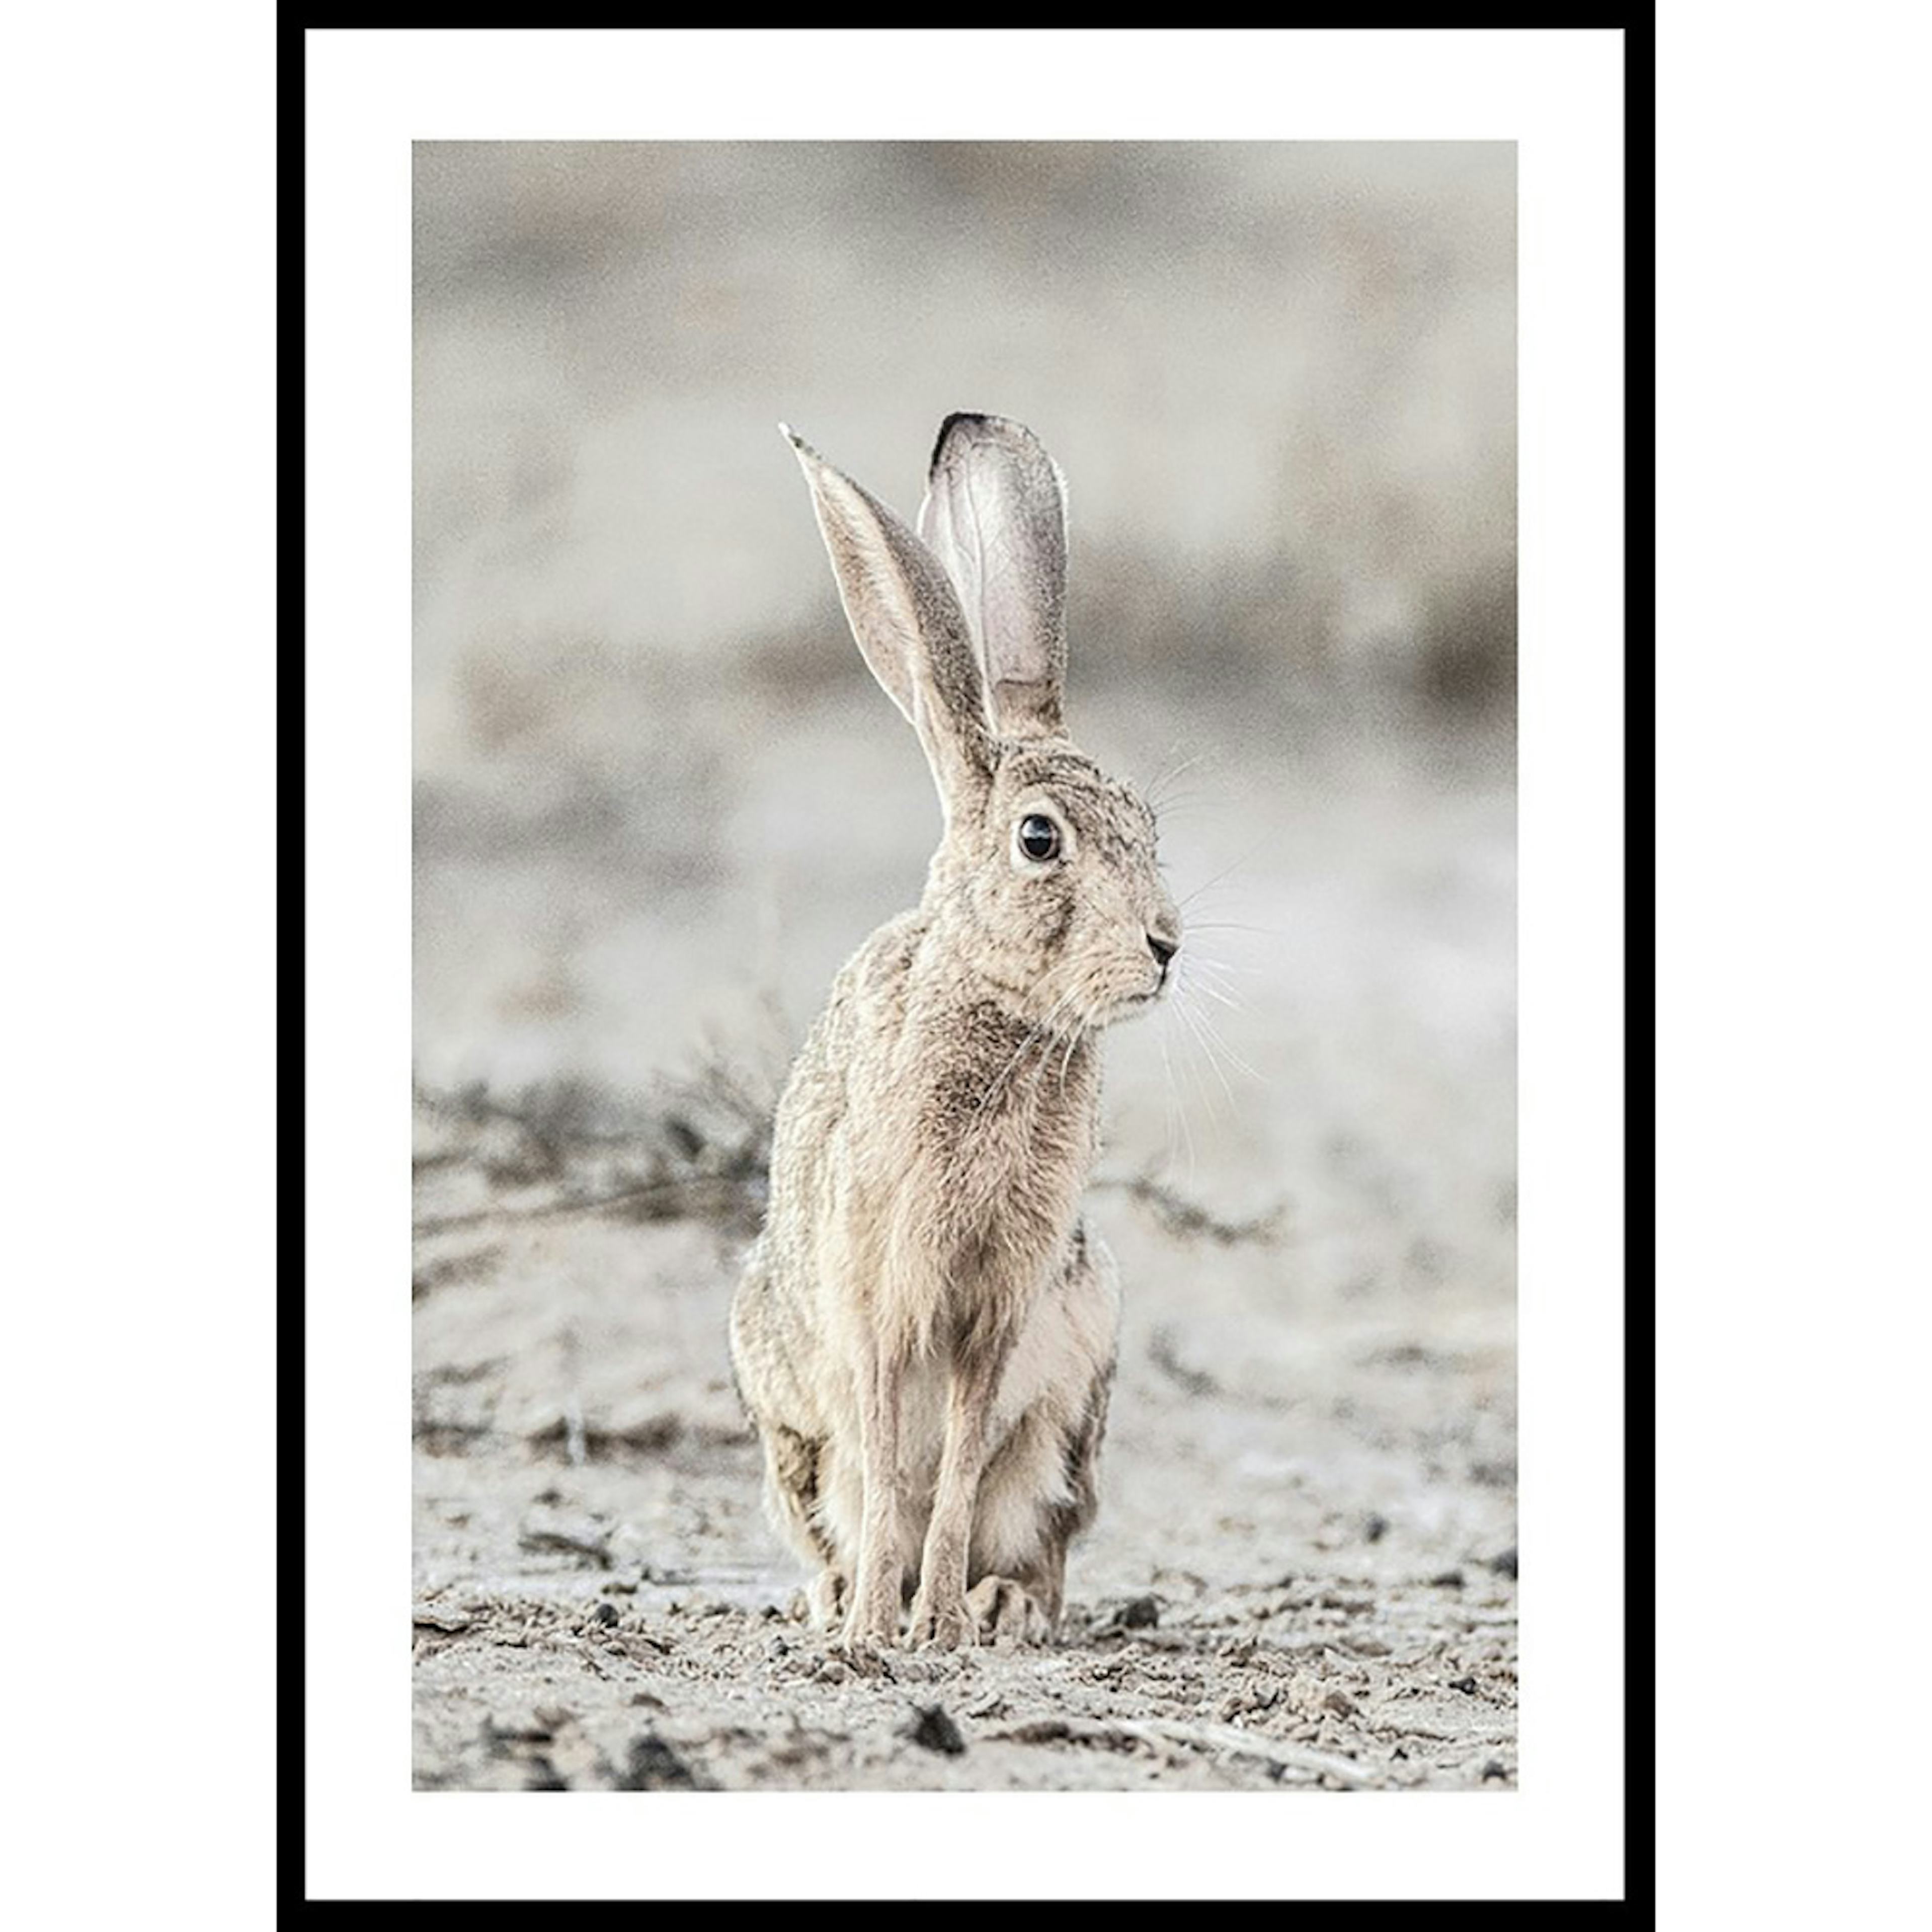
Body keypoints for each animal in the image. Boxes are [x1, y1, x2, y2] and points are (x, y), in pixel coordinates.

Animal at [728, 412, 1181, 1650]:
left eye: (1149, 827)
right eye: (1040, 840)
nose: (1166, 947)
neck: (1002, 1016)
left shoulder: (1002, 1307)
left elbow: (963, 1462)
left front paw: (937, 1622)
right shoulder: (883, 1293)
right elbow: (894, 1459)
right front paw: (881, 1627)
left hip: (1079, 1395)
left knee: (1035, 1532)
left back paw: (1000, 1603)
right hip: (785, 1409)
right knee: (838, 1500)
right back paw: (838, 1598)